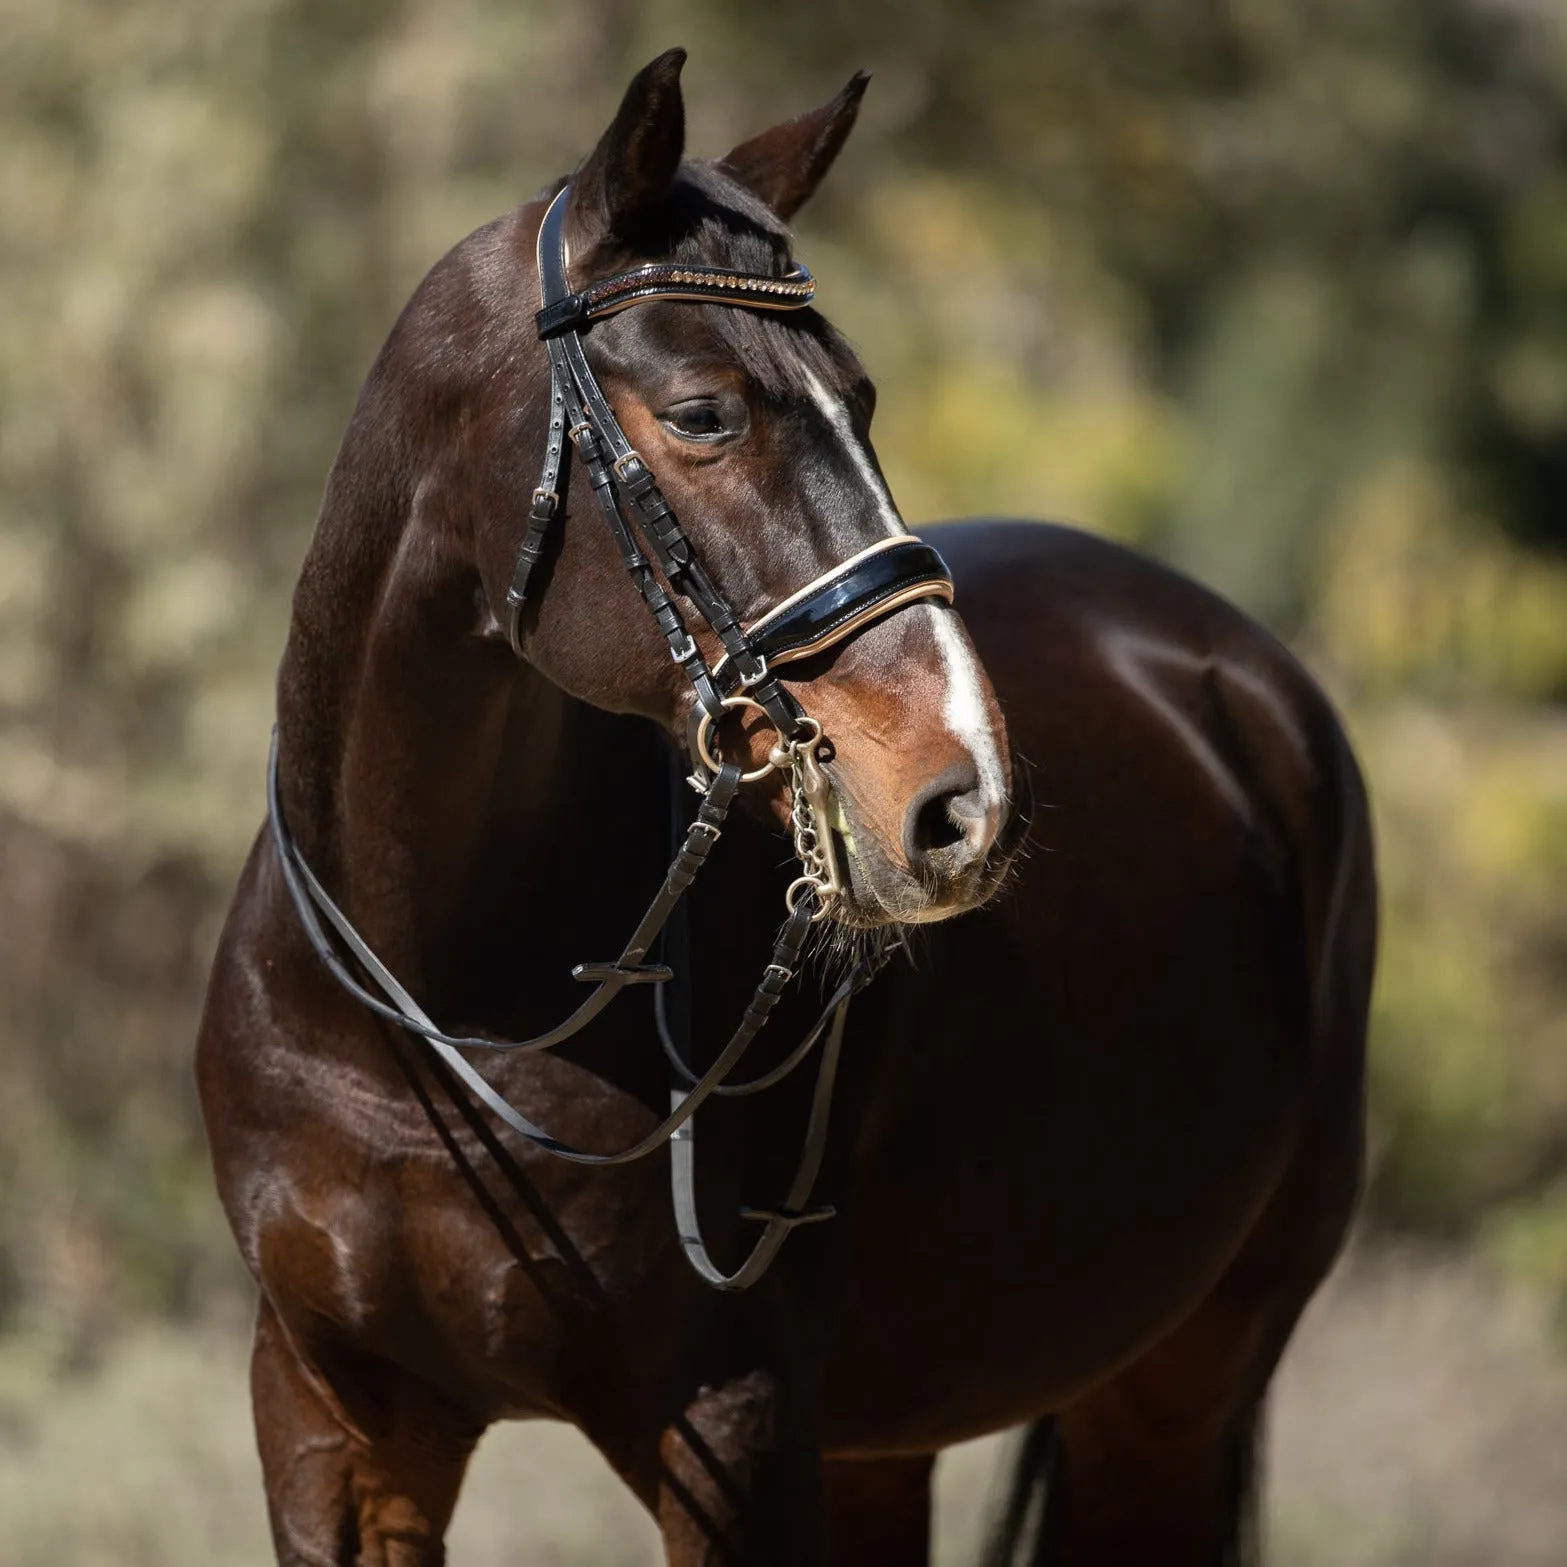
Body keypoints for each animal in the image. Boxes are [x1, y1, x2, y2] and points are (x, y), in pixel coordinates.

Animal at [192, 48, 1372, 1567]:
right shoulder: (334, 1423)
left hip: (1177, 1380)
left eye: (859, 398)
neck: (432, 1021)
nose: (967, 798)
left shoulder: (730, 1427)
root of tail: (1232, 674)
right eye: (703, 412)